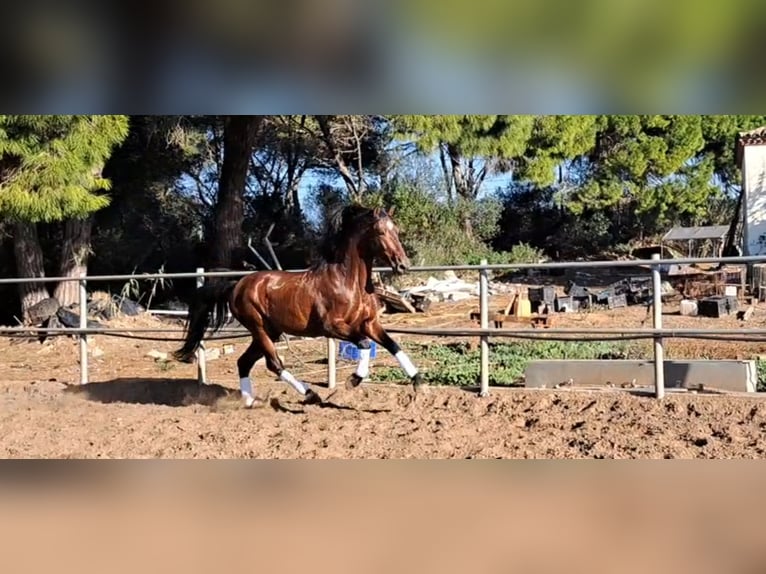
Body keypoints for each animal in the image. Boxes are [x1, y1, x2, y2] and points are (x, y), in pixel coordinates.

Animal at [174, 205, 426, 408]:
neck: (349, 282)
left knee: (244, 362)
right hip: (259, 328)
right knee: (274, 364)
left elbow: (393, 345)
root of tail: (237, 284)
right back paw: (310, 394)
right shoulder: (333, 327)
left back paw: (250, 402)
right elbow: (364, 345)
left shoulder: (369, 323)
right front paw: (353, 380)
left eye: (397, 231)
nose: (403, 265)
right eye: (381, 232)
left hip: (270, 332)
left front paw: (419, 383)